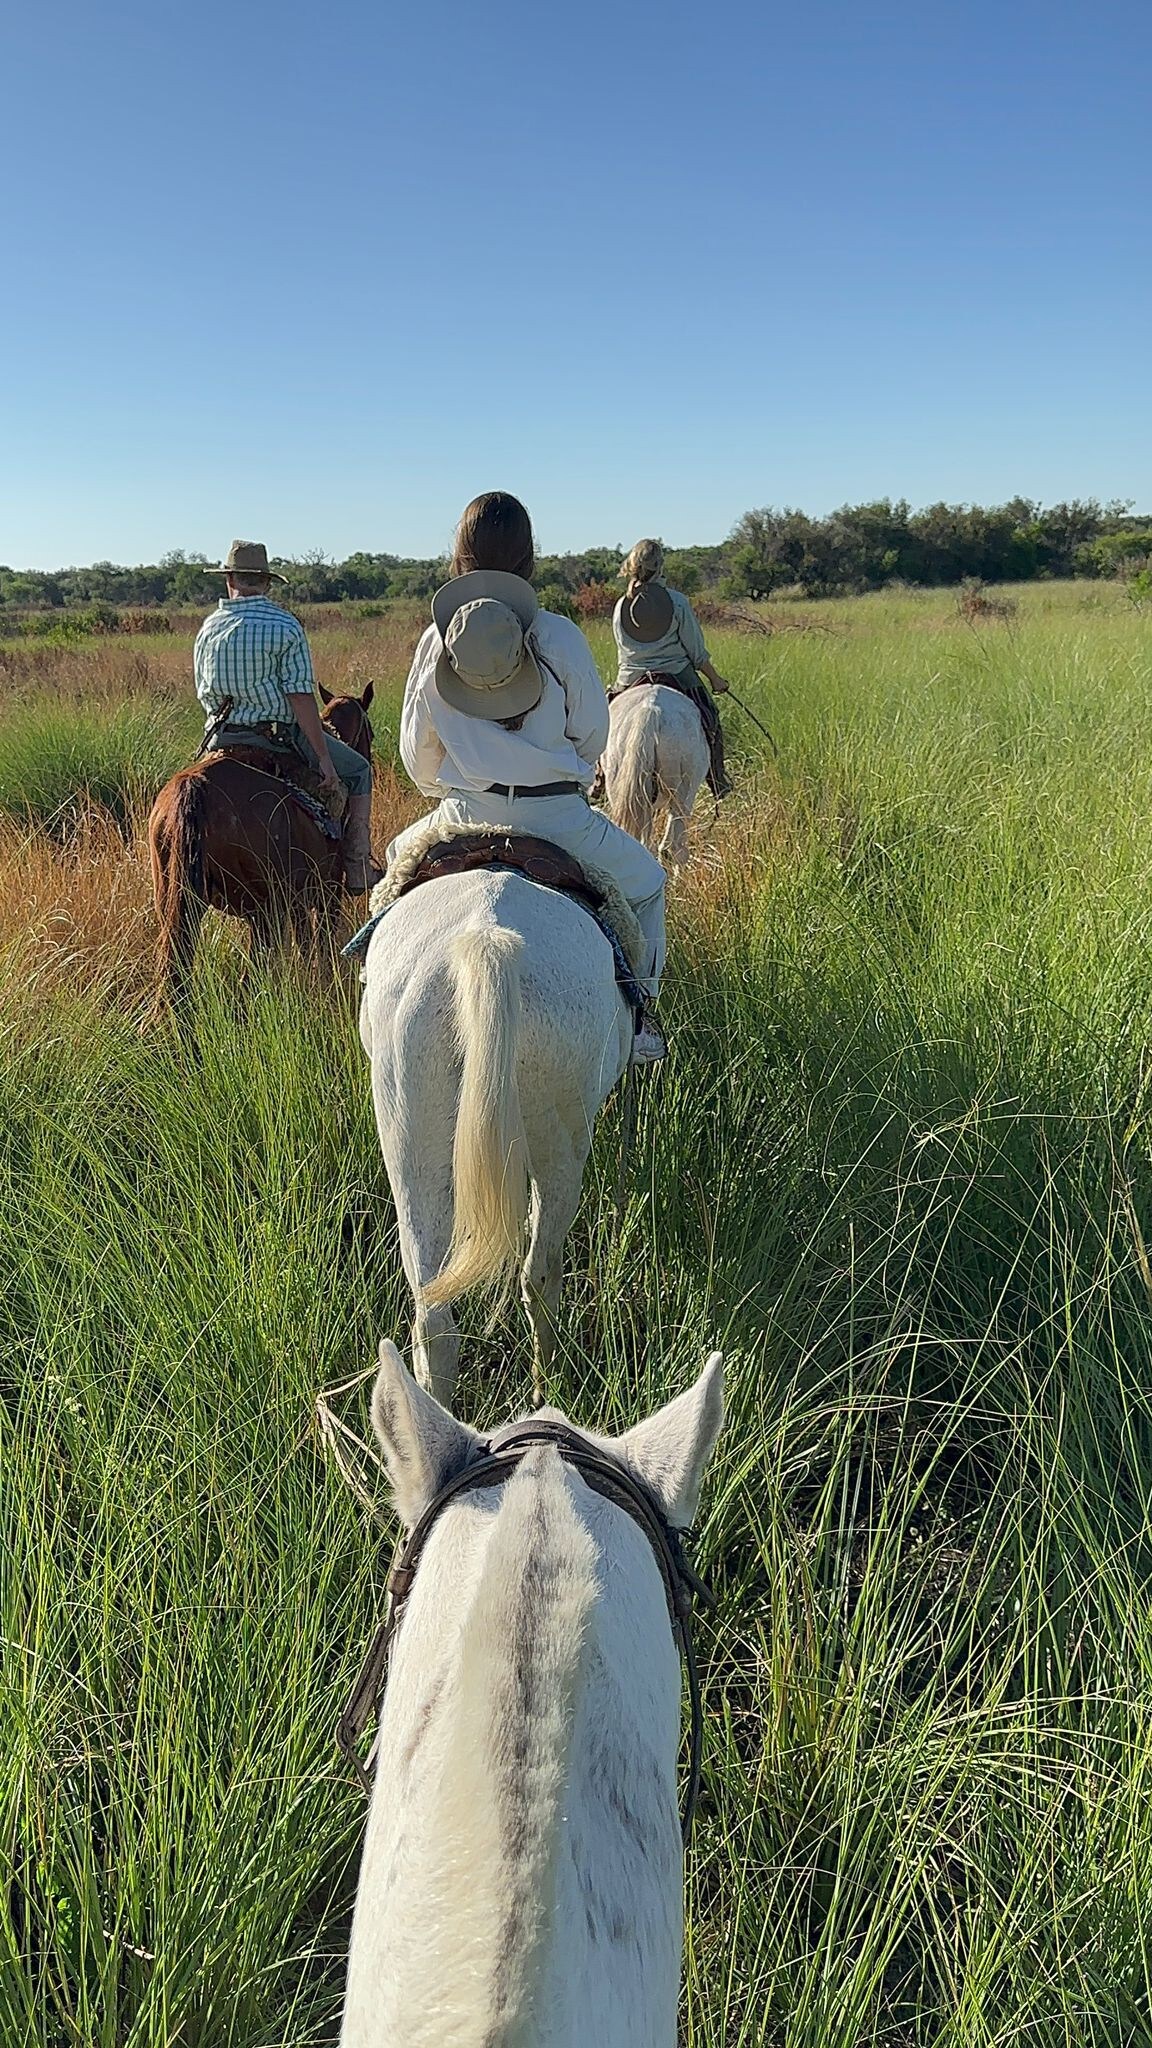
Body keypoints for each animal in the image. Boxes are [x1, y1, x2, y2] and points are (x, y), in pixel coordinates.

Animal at [145, 684, 375, 1003]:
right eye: (371, 735)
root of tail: (196, 787)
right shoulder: (327, 892)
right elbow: (319, 947)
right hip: (265, 910)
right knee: (250, 978)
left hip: (179, 901)